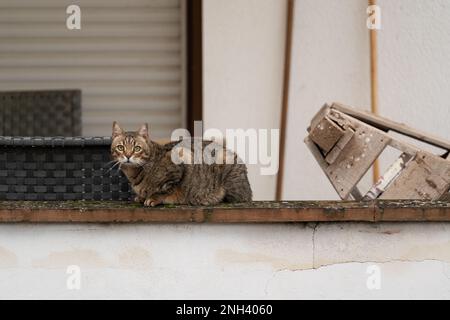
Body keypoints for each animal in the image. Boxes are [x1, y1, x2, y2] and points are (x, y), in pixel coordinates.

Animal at [110, 121, 251, 206]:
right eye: (121, 147)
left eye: (137, 148)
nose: (128, 156)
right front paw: (141, 196)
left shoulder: (179, 162)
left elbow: (165, 190)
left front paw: (153, 198)